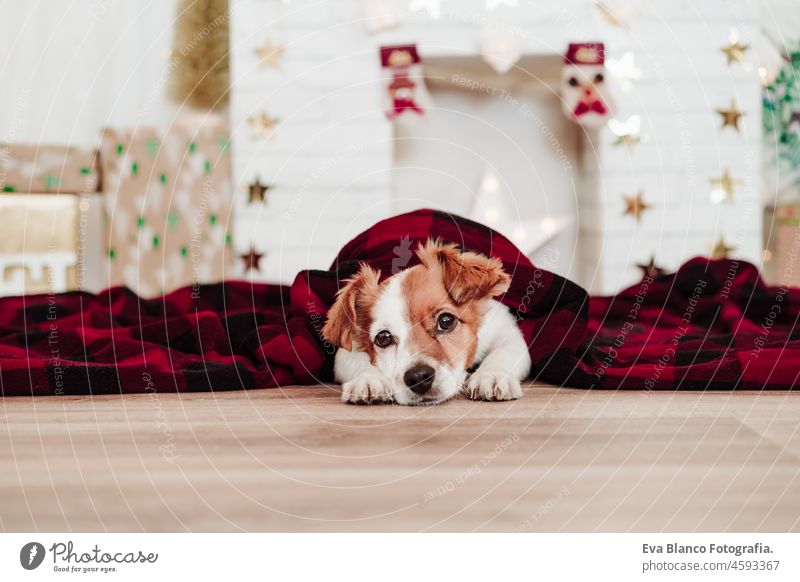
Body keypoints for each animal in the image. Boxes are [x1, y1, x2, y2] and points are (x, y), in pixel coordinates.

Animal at [318, 238, 532, 406]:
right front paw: (368, 379)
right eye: (383, 338)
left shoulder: (505, 329)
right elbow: (356, 360)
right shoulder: (349, 347)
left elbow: (504, 353)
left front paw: (493, 374)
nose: (419, 377)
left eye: (446, 321)